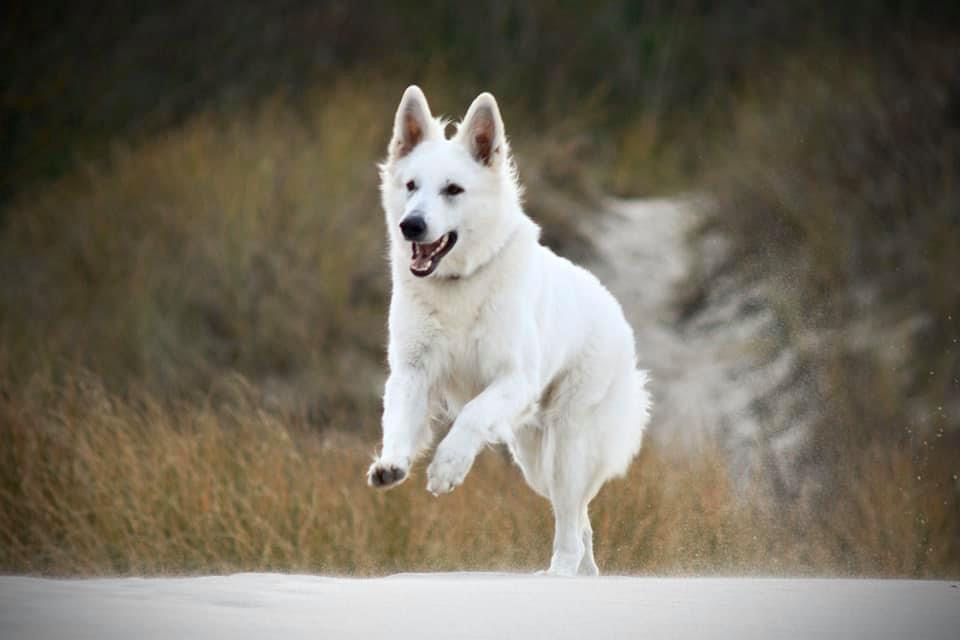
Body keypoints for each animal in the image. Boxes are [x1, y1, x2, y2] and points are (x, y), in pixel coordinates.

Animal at [368, 85, 652, 576]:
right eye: (411, 187)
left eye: (453, 190)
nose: (411, 225)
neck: (459, 284)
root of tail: (613, 309)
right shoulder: (411, 372)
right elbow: (399, 419)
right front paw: (392, 462)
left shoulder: (514, 379)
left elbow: (470, 415)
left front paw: (447, 467)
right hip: (535, 462)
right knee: (580, 517)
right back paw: (585, 572)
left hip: (566, 448)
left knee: (570, 518)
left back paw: (560, 573)